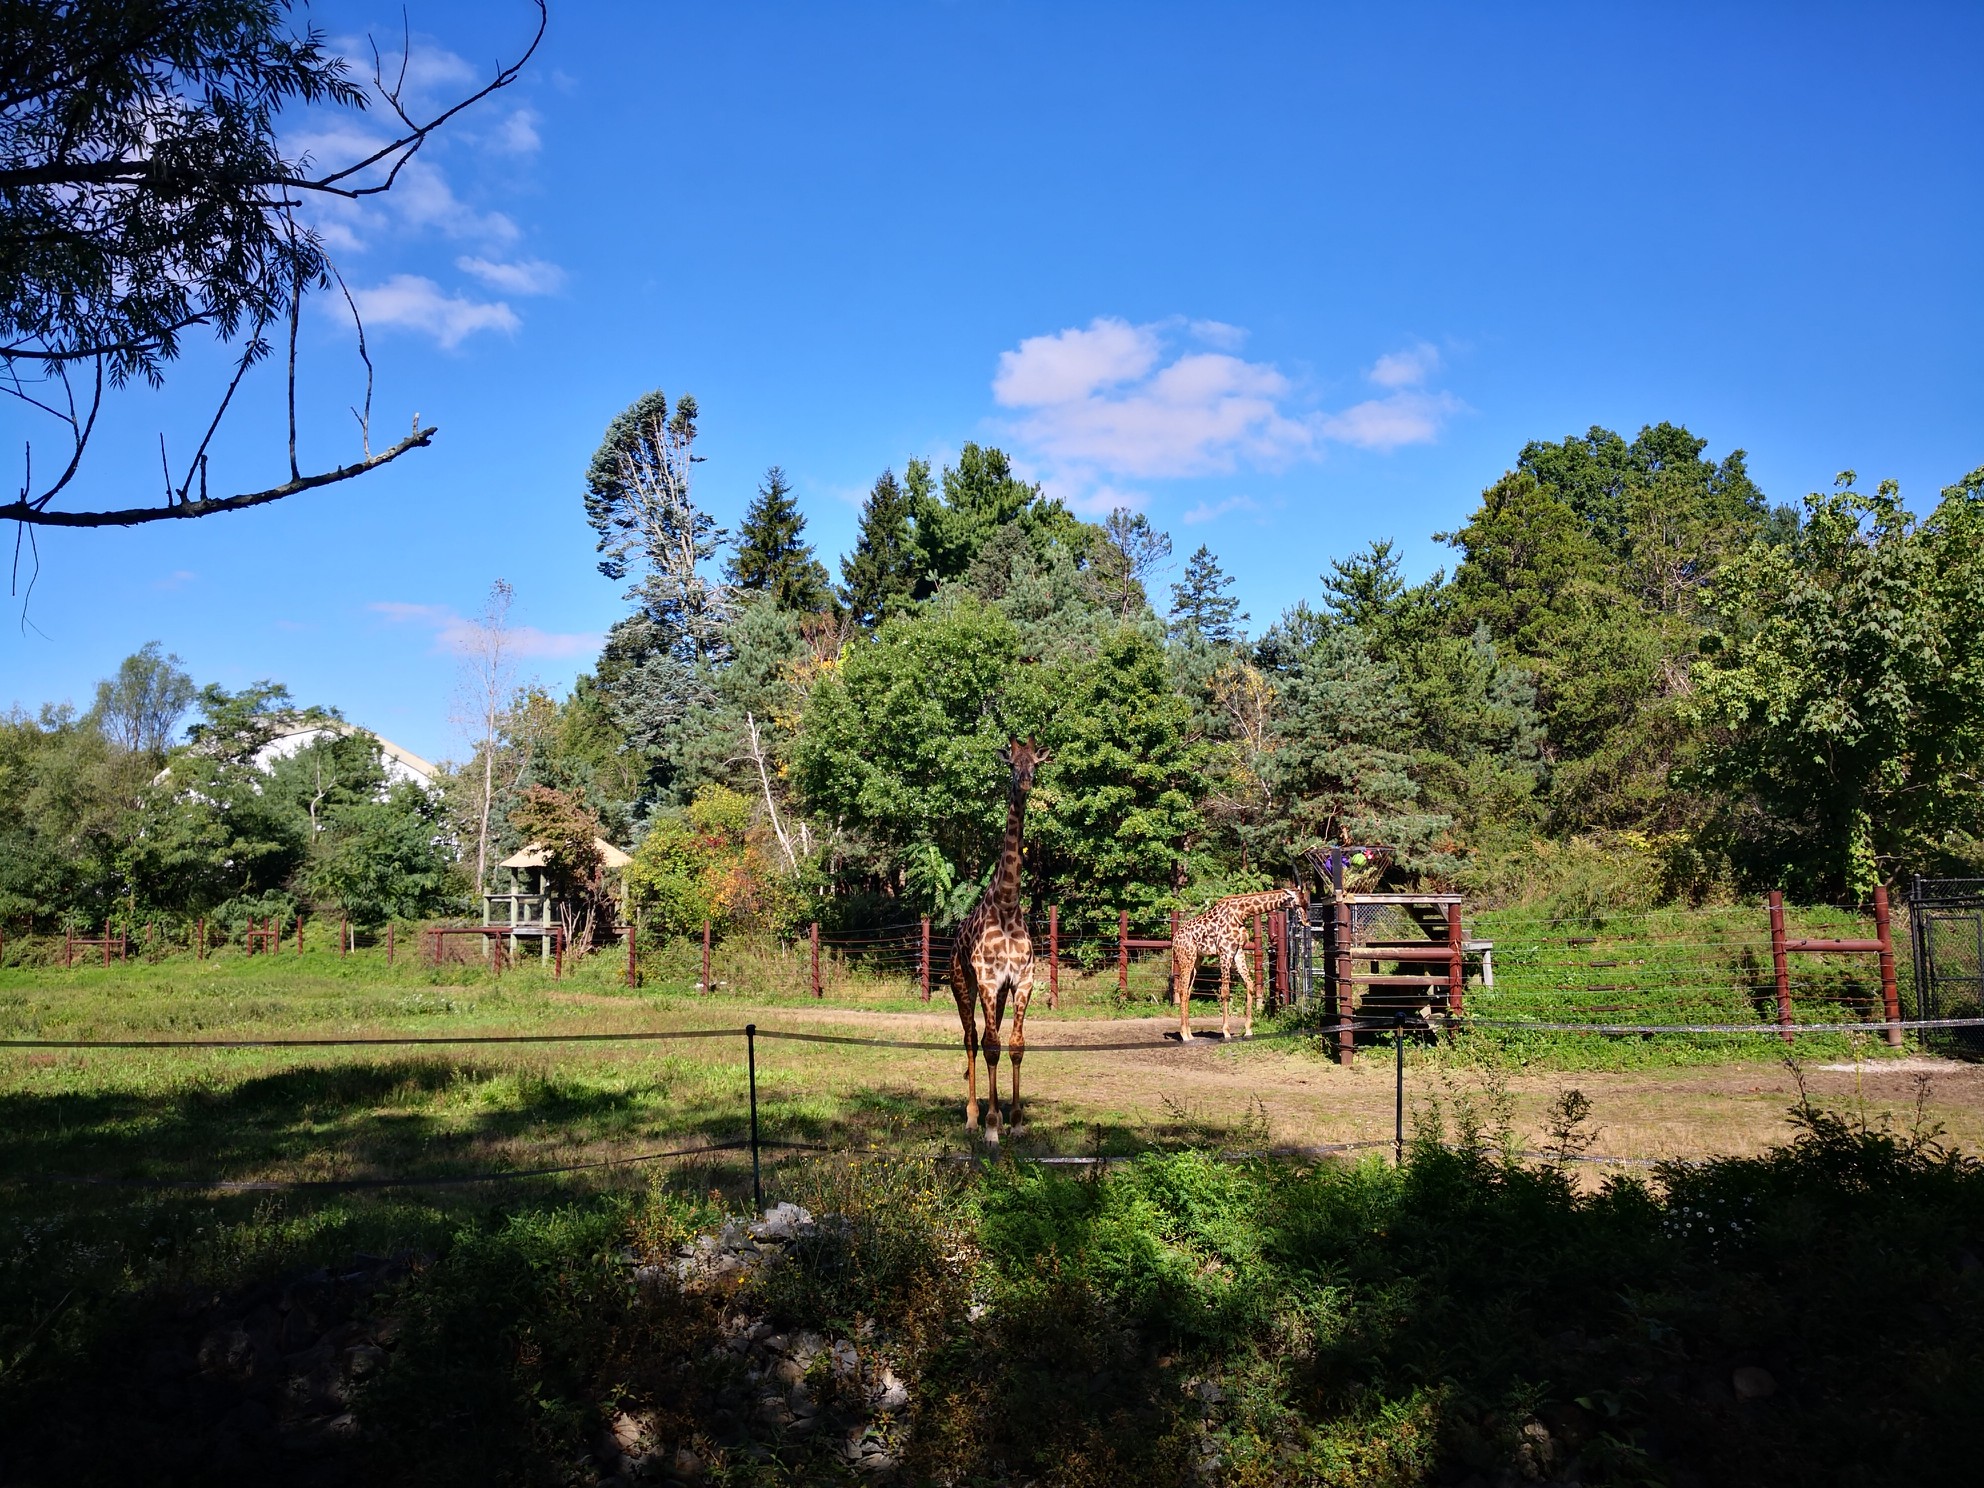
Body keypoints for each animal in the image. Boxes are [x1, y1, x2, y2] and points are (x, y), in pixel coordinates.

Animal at [948, 742, 1055, 1150]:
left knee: (987, 1038)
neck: (1008, 904)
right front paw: (993, 1128)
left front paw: (1018, 1123)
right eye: (1011, 764)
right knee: (972, 1039)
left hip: (997, 994)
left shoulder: (1021, 981)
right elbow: (991, 1045)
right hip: (962, 983)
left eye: (1035, 764)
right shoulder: (987, 980)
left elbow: (1015, 1046)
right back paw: (973, 1118)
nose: (1024, 782)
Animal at [1158, 892, 1301, 1039]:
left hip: (1196, 959)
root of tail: (1174, 939)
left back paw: (1190, 1034)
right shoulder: (1225, 952)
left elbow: (1250, 985)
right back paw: (1184, 1035)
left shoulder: (1238, 951)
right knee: (1182, 989)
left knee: (1187, 991)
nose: (1304, 921)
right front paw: (1226, 1032)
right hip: (1186, 959)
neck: (1241, 912)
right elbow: (1225, 991)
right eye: (1299, 903)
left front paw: (1248, 1030)